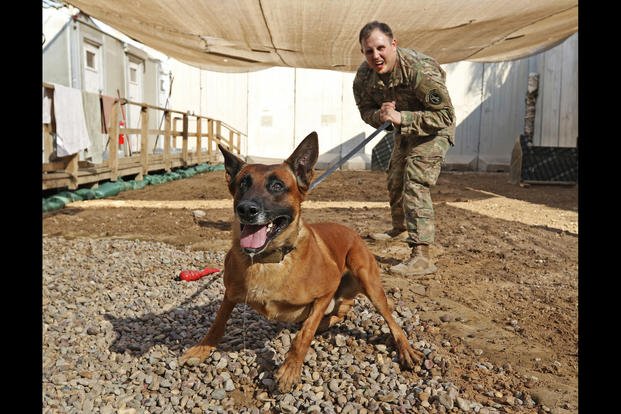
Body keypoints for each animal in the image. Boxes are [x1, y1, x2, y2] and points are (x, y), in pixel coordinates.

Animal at [177, 131, 424, 390]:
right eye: (243, 183)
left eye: (277, 186)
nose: (246, 209)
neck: (268, 260)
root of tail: (352, 231)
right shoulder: (230, 294)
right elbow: (217, 323)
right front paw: (201, 349)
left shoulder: (326, 292)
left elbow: (303, 335)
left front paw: (290, 369)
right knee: (342, 311)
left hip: (368, 281)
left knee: (389, 320)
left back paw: (405, 349)